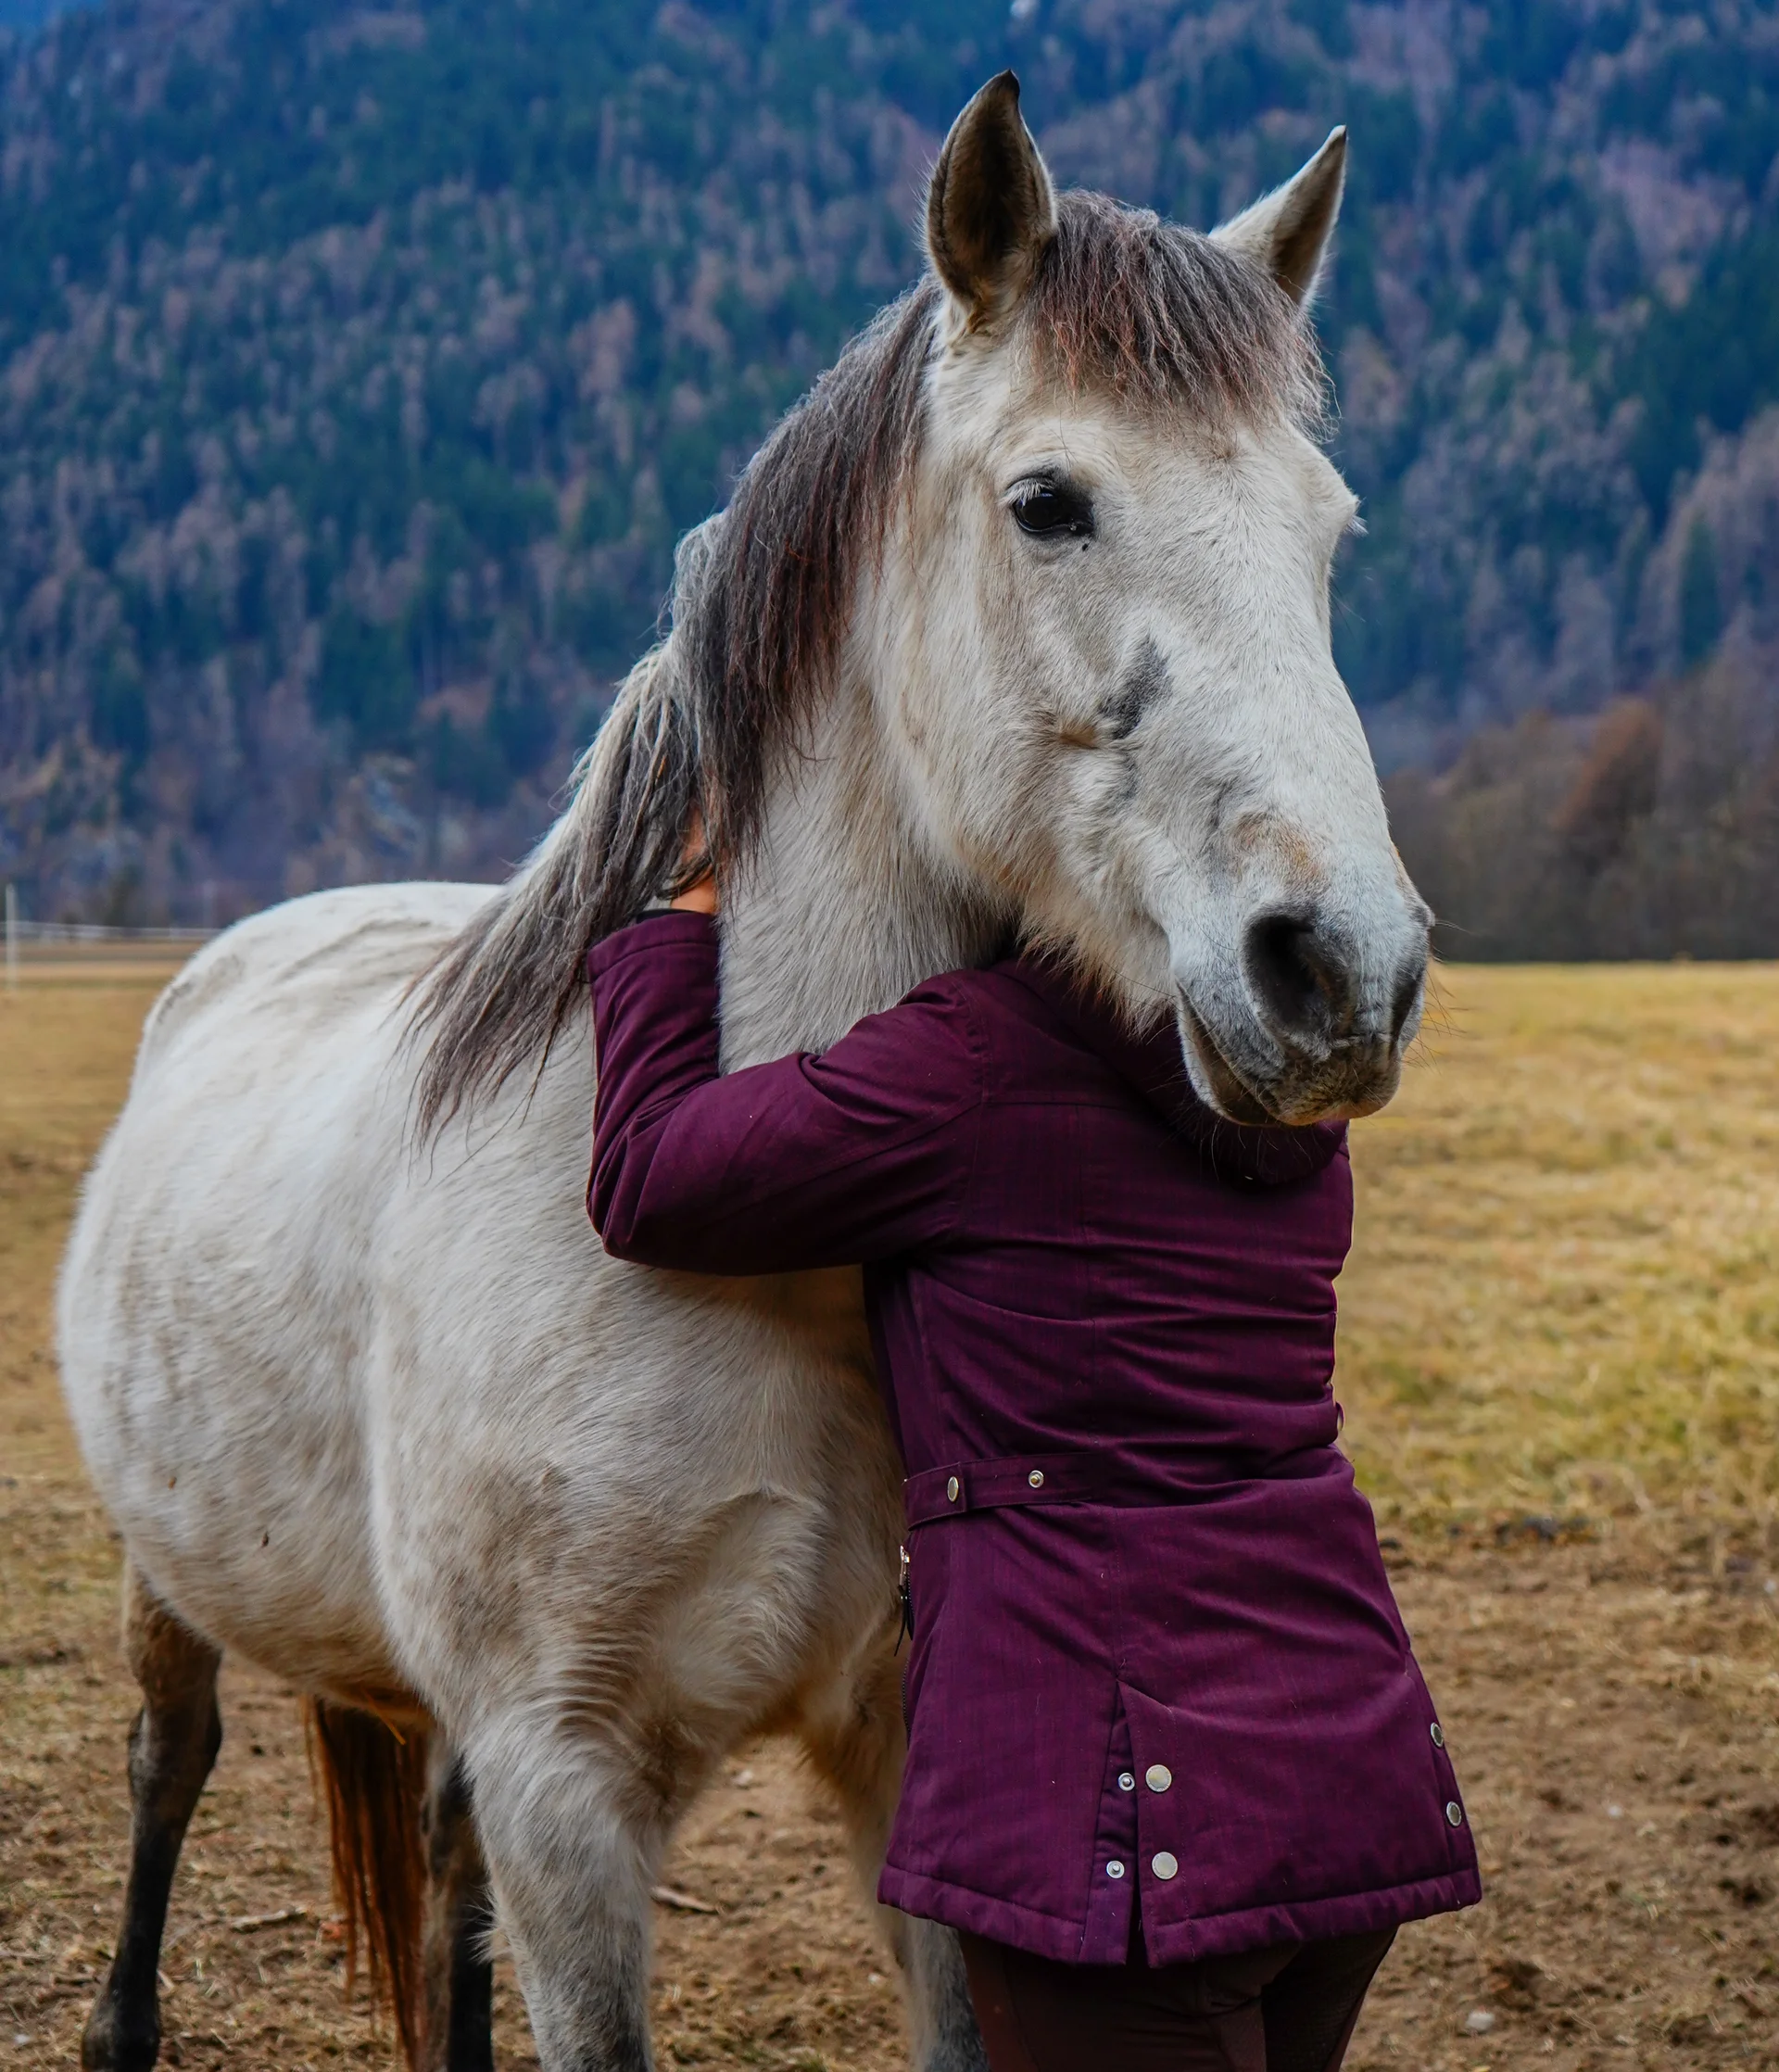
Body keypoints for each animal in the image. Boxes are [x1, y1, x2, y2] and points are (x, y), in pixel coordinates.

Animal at [59, 73, 1430, 2072]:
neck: (754, 1249)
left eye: (1328, 535)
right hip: (170, 1580)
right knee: (169, 1757)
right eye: (1049, 502)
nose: (1343, 972)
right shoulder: (566, 1788)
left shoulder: (909, 1767)